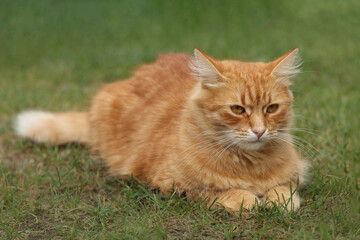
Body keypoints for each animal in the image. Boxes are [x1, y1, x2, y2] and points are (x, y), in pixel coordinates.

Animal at [14, 48, 306, 212]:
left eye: (271, 108)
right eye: (237, 109)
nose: (259, 131)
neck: (249, 165)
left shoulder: (297, 171)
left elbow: (284, 189)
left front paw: (280, 201)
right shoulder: (169, 183)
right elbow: (217, 193)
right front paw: (248, 200)